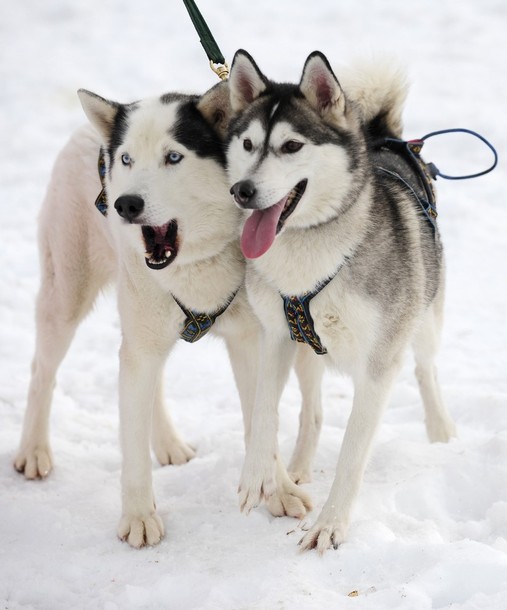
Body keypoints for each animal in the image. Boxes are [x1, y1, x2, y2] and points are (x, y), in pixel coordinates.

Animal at [16, 82, 326, 548]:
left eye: (173, 157)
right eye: (127, 159)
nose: (126, 204)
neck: (200, 262)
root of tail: (85, 132)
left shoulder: (253, 342)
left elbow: (262, 420)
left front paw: (279, 491)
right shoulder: (143, 346)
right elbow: (131, 447)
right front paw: (139, 517)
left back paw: (167, 443)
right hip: (67, 300)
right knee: (43, 373)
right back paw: (33, 451)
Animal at [228, 52, 458, 552]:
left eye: (291, 146)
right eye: (249, 143)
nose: (242, 191)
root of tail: (384, 134)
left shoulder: (378, 364)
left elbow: (353, 452)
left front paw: (330, 525)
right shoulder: (277, 335)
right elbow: (264, 408)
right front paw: (257, 476)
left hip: (426, 315)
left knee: (426, 367)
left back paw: (441, 431)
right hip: (306, 350)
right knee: (312, 410)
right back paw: (297, 466)